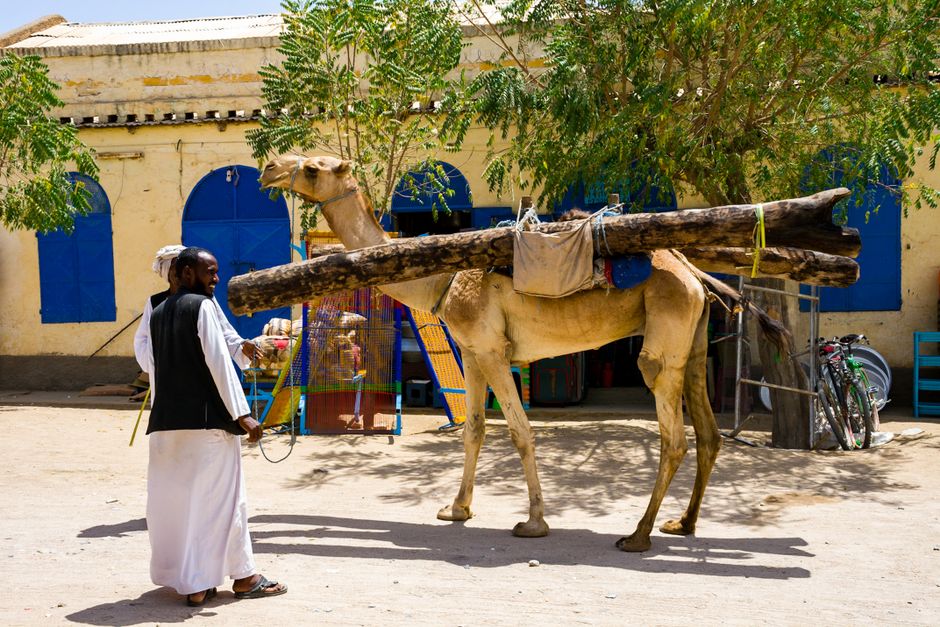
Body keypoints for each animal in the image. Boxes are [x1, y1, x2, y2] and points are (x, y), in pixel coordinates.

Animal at [259, 154, 776, 552]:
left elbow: (521, 431)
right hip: (692, 341)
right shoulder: (470, 351)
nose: (268, 168)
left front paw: (534, 522)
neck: (442, 277)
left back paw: (638, 534)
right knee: (708, 433)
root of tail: (693, 273)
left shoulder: (492, 349)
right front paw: (457, 509)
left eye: (311, 167)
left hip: (663, 337)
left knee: (673, 435)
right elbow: (473, 428)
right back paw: (682, 524)